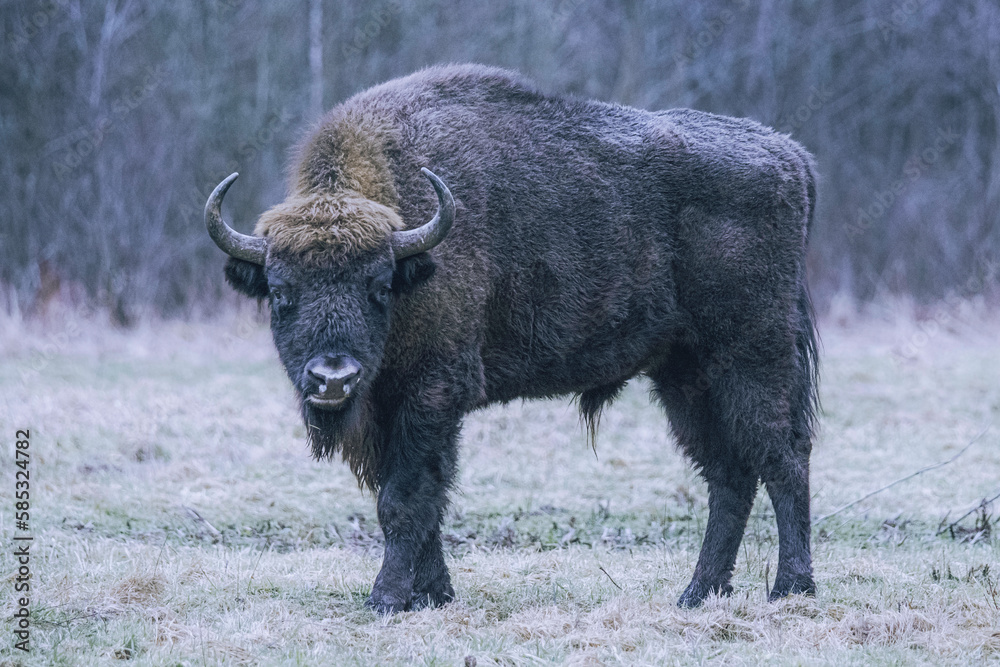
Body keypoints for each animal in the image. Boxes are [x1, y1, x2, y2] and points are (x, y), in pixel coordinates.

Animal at [205, 65, 820, 612]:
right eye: (281, 291)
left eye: (378, 286)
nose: (333, 377)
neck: (413, 251)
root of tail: (792, 157)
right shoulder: (385, 410)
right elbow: (419, 500)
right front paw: (431, 596)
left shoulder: (432, 396)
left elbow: (404, 500)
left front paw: (386, 599)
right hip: (685, 375)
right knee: (729, 473)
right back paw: (698, 593)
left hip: (752, 357)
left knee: (782, 457)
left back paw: (790, 589)